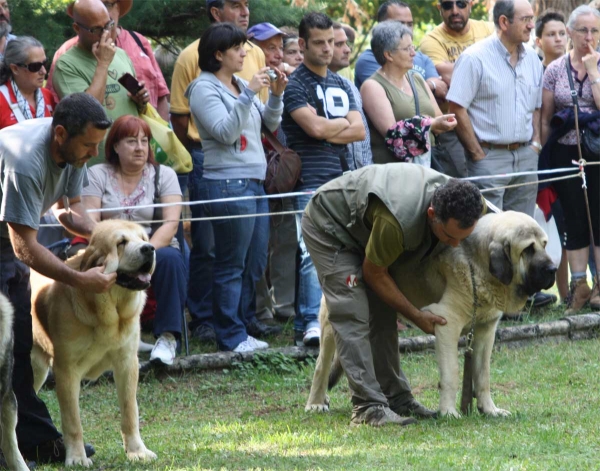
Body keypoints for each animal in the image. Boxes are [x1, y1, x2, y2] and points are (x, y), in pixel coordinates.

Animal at [30, 222, 158, 468]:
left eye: (144, 238)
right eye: (121, 243)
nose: (149, 248)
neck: (109, 313)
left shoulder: (127, 364)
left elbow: (130, 412)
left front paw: (137, 451)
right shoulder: (67, 371)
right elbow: (73, 422)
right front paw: (77, 457)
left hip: (38, 371)